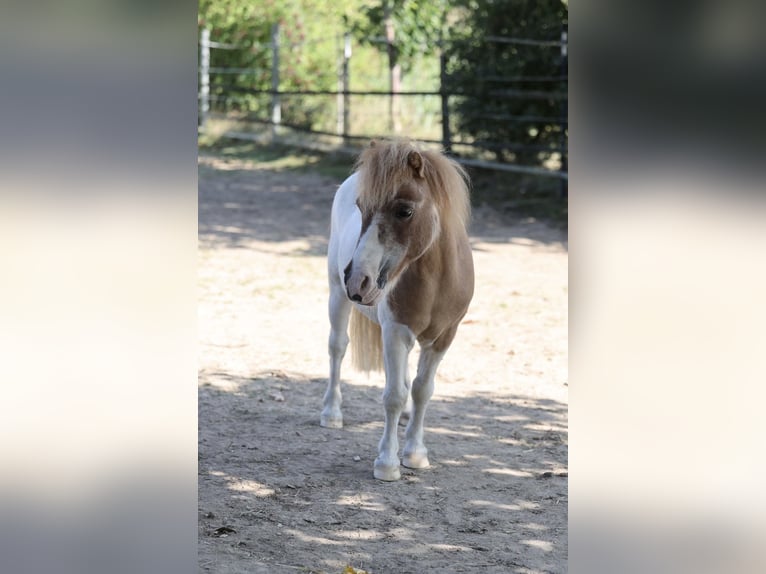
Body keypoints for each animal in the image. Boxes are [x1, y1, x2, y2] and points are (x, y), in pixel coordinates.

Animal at [321, 138, 475, 481]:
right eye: (362, 207)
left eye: (405, 211)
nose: (357, 280)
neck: (436, 281)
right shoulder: (396, 332)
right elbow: (393, 395)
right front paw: (387, 463)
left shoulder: (444, 338)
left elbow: (422, 390)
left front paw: (415, 453)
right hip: (337, 296)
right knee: (337, 348)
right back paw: (331, 413)